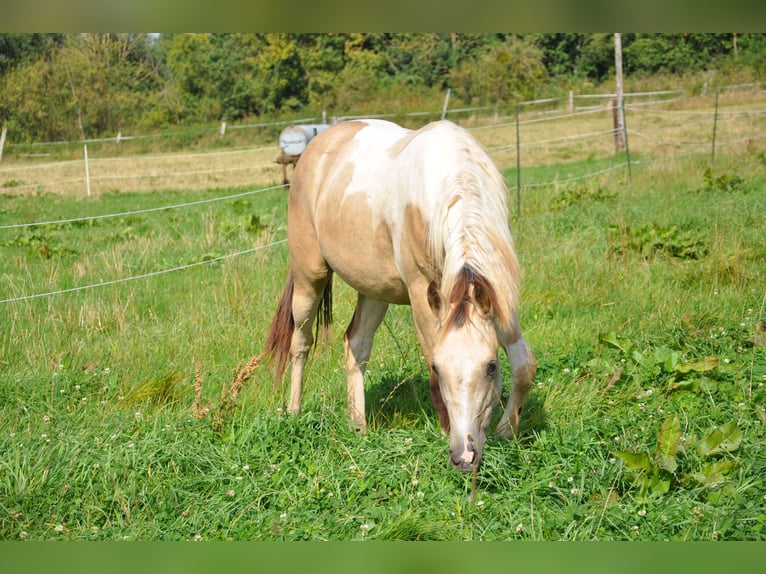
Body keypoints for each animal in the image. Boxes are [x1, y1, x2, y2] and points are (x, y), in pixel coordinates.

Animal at [264, 118, 536, 471]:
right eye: (439, 368)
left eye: (491, 366)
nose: (464, 455)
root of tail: (315, 147)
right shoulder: (423, 294)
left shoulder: (496, 294)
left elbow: (524, 366)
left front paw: (507, 431)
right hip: (310, 279)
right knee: (300, 343)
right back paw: (294, 412)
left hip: (374, 291)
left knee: (356, 344)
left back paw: (358, 426)